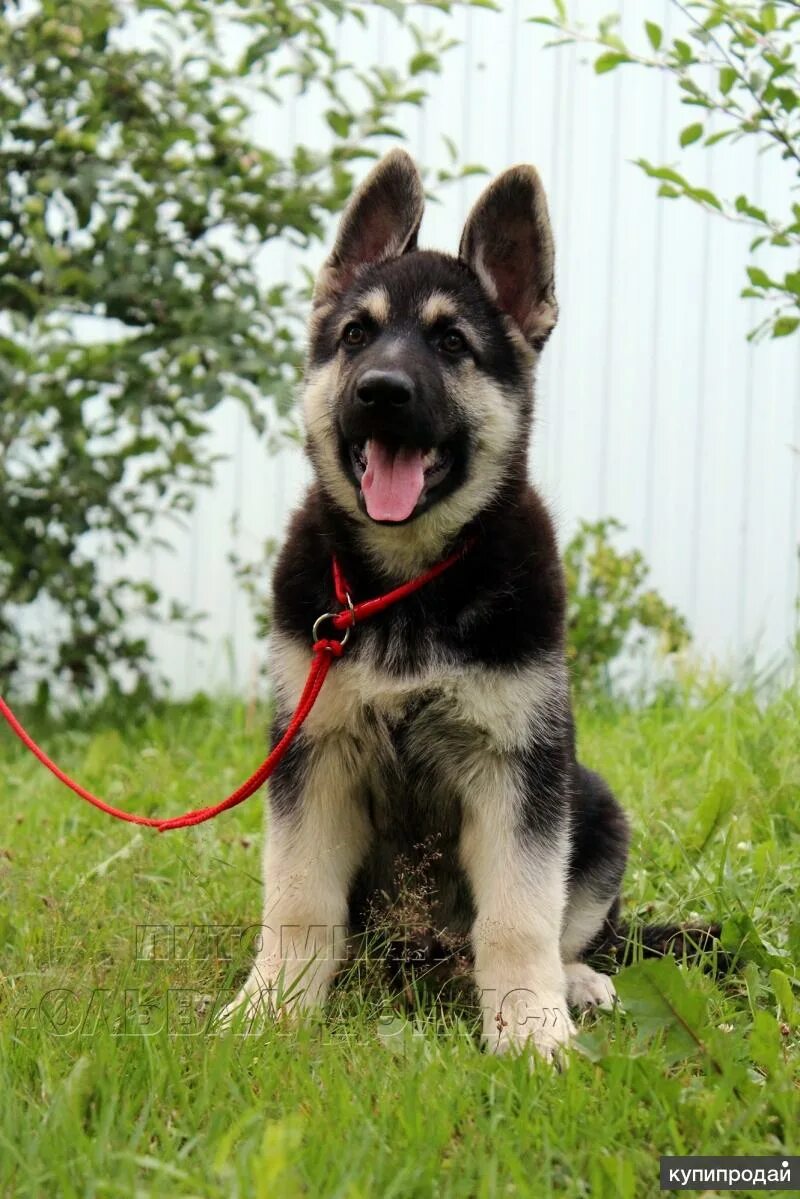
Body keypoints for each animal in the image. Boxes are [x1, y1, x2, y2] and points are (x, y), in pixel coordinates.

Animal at [224, 149, 633, 1059]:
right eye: (356, 334)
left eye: (451, 343)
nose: (380, 390)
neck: (409, 581)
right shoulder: (314, 753)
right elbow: (298, 901)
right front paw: (273, 1006)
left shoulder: (518, 767)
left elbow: (520, 915)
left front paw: (529, 1025)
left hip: (591, 800)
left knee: (558, 923)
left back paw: (573, 981)